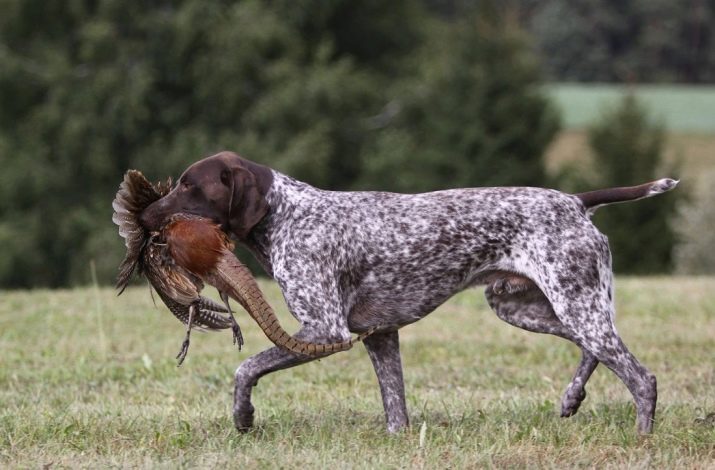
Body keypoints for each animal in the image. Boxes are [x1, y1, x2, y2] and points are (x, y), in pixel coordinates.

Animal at [138, 151, 676, 434]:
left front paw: (244, 415)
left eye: (189, 186)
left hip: (573, 303)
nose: (142, 216)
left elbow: (246, 367)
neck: (286, 215)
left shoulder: (325, 329)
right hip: (526, 306)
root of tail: (575, 201)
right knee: (595, 350)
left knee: (640, 377)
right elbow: (394, 405)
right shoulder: (380, 334)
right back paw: (570, 398)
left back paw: (641, 435)